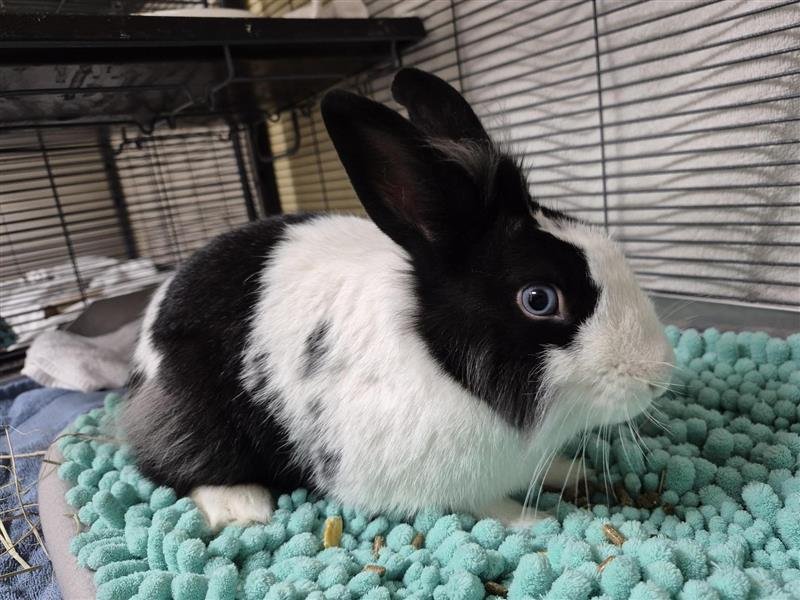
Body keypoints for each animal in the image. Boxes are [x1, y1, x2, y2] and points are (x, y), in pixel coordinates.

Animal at [122, 68, 674, 532]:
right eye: (539, 299)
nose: (658, 376)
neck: (441, 360)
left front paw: (568, 470)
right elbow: (485, 503)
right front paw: (533, 521)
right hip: (195, 416)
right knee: (170, 463)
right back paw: (242, 506)